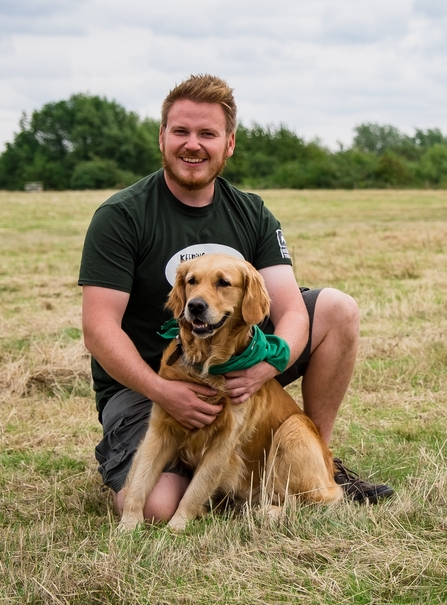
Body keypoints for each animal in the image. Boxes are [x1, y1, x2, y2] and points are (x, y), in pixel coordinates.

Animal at [119, 252, 344, 532]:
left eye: (223, 283)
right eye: (192, 281)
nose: (194, 306)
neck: (208, 362)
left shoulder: (225, 442)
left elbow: (195, 490)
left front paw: (176, 527)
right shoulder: (160, 428)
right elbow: (140, 480)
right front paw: (128, 525)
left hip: (292, 430)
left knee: (305, 501)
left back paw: (265, 512)